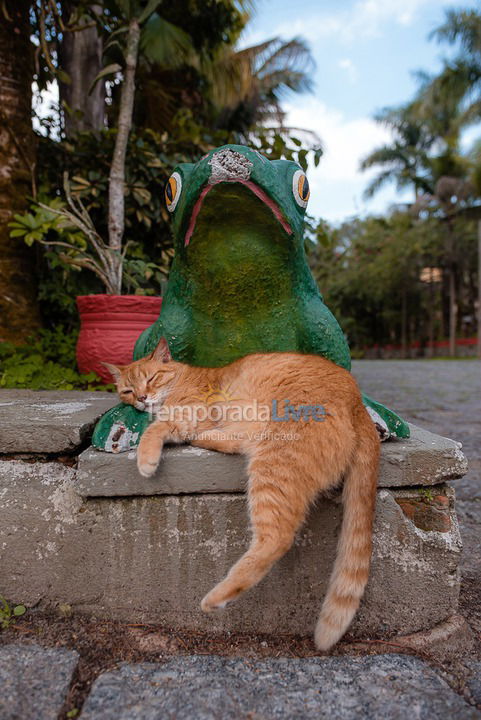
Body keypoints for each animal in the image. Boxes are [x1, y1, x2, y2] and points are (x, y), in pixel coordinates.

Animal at [105, 338, 378, 652]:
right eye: (127, 390)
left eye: (151, 379)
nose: (141, 398)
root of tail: (357, 402)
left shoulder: (190, 415)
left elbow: (154, 429)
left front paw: (146, 459)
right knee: (236, 443)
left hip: (273, 464)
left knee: (278, 538)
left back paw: (217, 597)